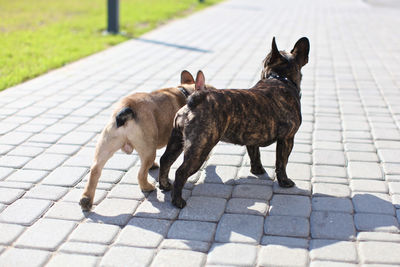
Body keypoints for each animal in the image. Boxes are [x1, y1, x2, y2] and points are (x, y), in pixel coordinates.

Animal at [158, 37, 310, 209]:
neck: (279, 78)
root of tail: (195, 99)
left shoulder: (252, 139)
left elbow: (255, 154)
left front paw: (257, 170)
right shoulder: (287, 139)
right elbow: (282, 162)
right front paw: (284, 181)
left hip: (177, 140)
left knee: (165, 160)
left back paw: (164, 185)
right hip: (200, 148)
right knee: (181, 172)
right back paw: (178, 200)